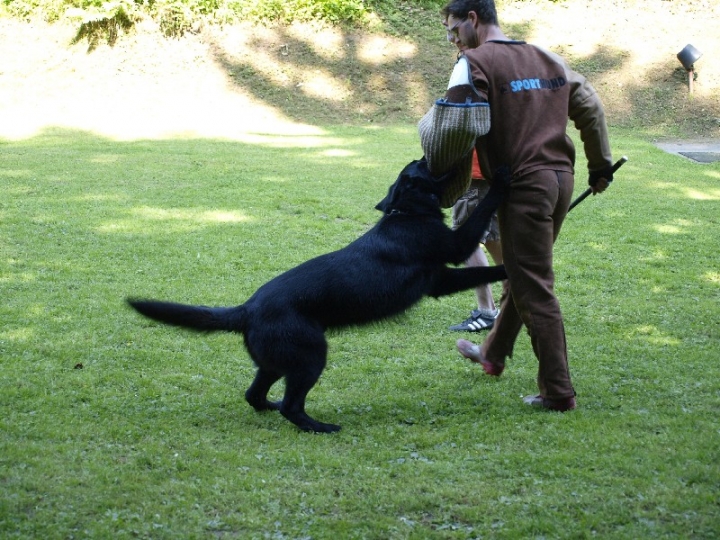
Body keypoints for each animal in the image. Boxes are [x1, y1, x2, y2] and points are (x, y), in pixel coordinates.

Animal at [128, 160, 506, 434]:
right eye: (422, 163)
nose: (429, 154)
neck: (406, 213)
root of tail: (246, 309)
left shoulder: (439, 281)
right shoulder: (455, 251)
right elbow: (485, 243)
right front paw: (504, 183)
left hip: (276, 362)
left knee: (255, 395)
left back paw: (273, 408)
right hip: (311, 357)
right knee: (292, 406)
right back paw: (319, 427)